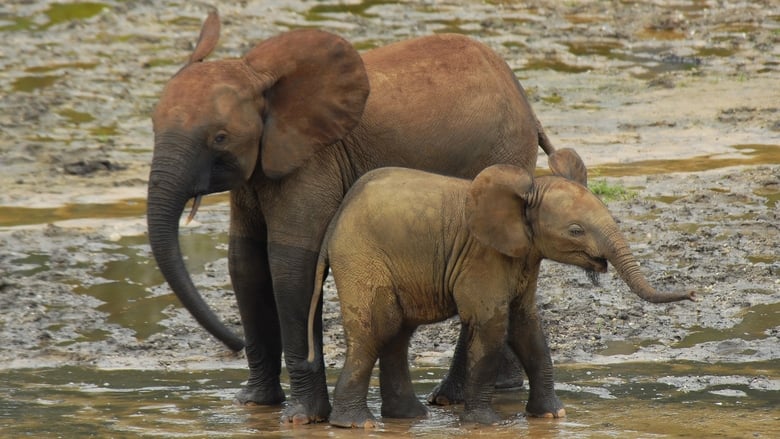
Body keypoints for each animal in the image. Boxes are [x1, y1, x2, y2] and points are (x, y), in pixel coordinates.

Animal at [148, 12, 584, 424]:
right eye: (152, 126)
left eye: (219, 138)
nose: (233, 346)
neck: (260, 78)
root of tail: (524, 99)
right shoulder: (258, 170)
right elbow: (245, 266)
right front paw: (253, 405)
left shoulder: (314, 162)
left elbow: (292, 268)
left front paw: (302, 417)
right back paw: (496, 390)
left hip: (502, 153)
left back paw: (452, 398)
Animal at [308, 165, 692, 430]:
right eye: (575, 231)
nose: (691, 293)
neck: (528, 190)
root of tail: (334, 223)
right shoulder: (483, 256)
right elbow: (492, 326)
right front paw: (486, 424)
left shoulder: (523, 258)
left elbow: (527, 327)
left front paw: (553, 415)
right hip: (362, 258)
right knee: (377, 329)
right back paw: (357, 424)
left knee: (397, 333)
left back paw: (409, 418)